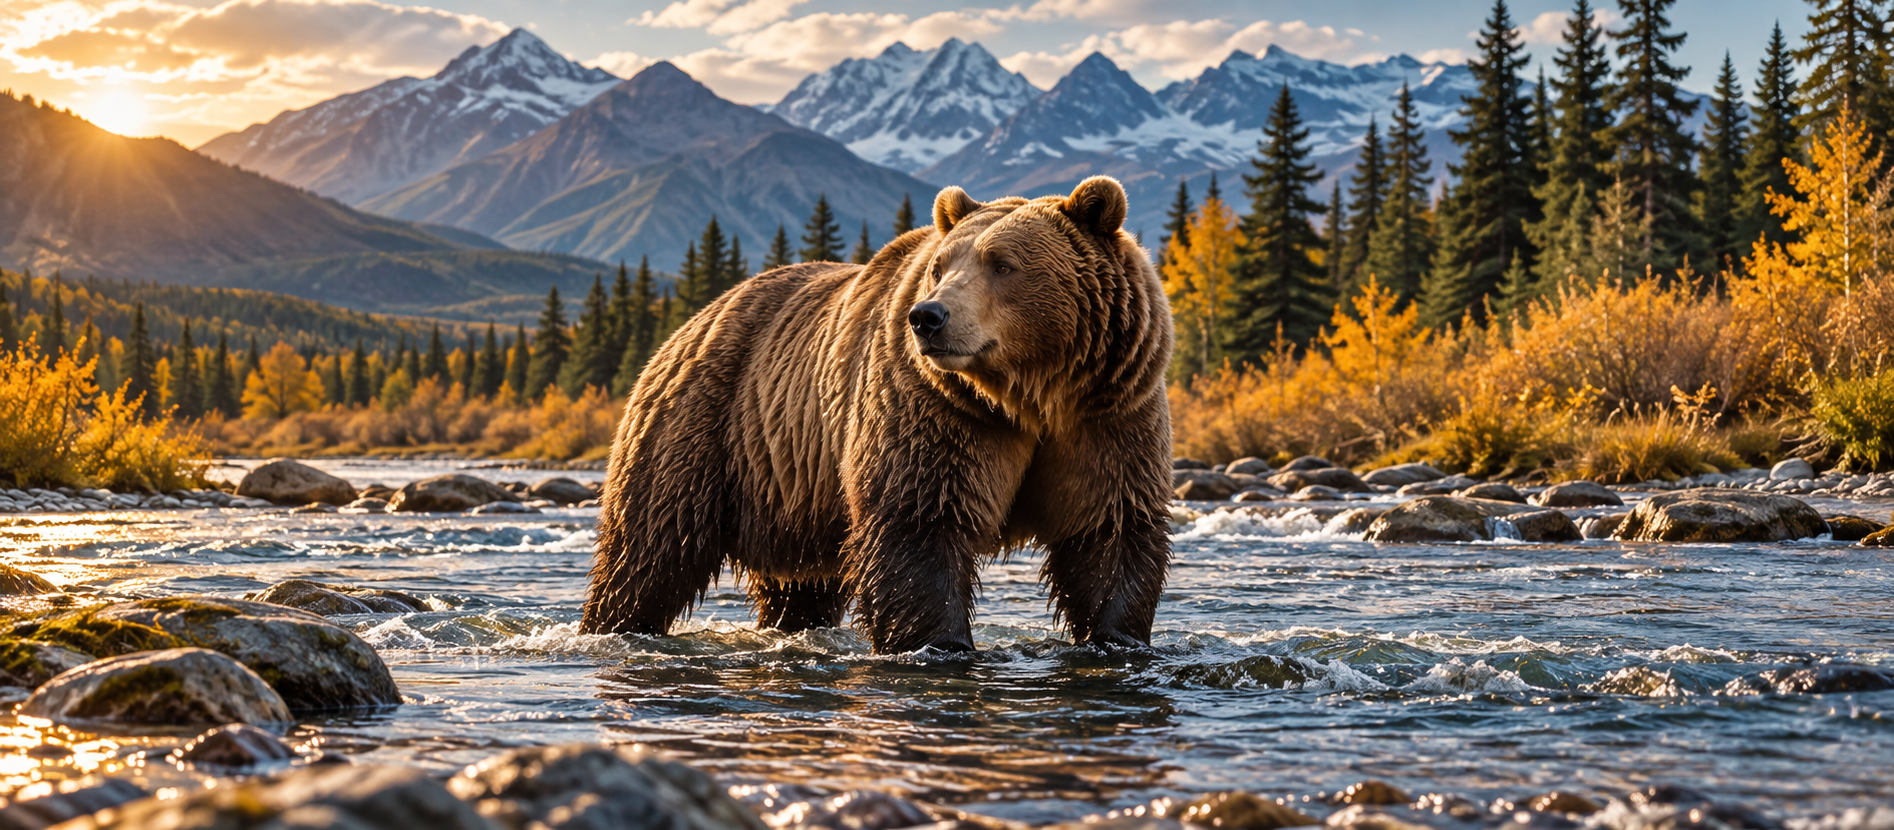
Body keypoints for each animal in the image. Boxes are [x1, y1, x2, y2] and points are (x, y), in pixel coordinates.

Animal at [582, 176, 1174, 653]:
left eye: (1003, 264)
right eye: (940, 267)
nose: (928, 317)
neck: (1029, 396)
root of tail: (692, 321)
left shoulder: (1108, 416)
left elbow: (1107, 528)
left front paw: (1116, 636)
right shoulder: (937, 411)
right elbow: (918, 521)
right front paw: (940, 644)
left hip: (790, 486)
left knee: (799, 586)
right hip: (701, 427)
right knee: (649, 552)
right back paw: (612, 625)